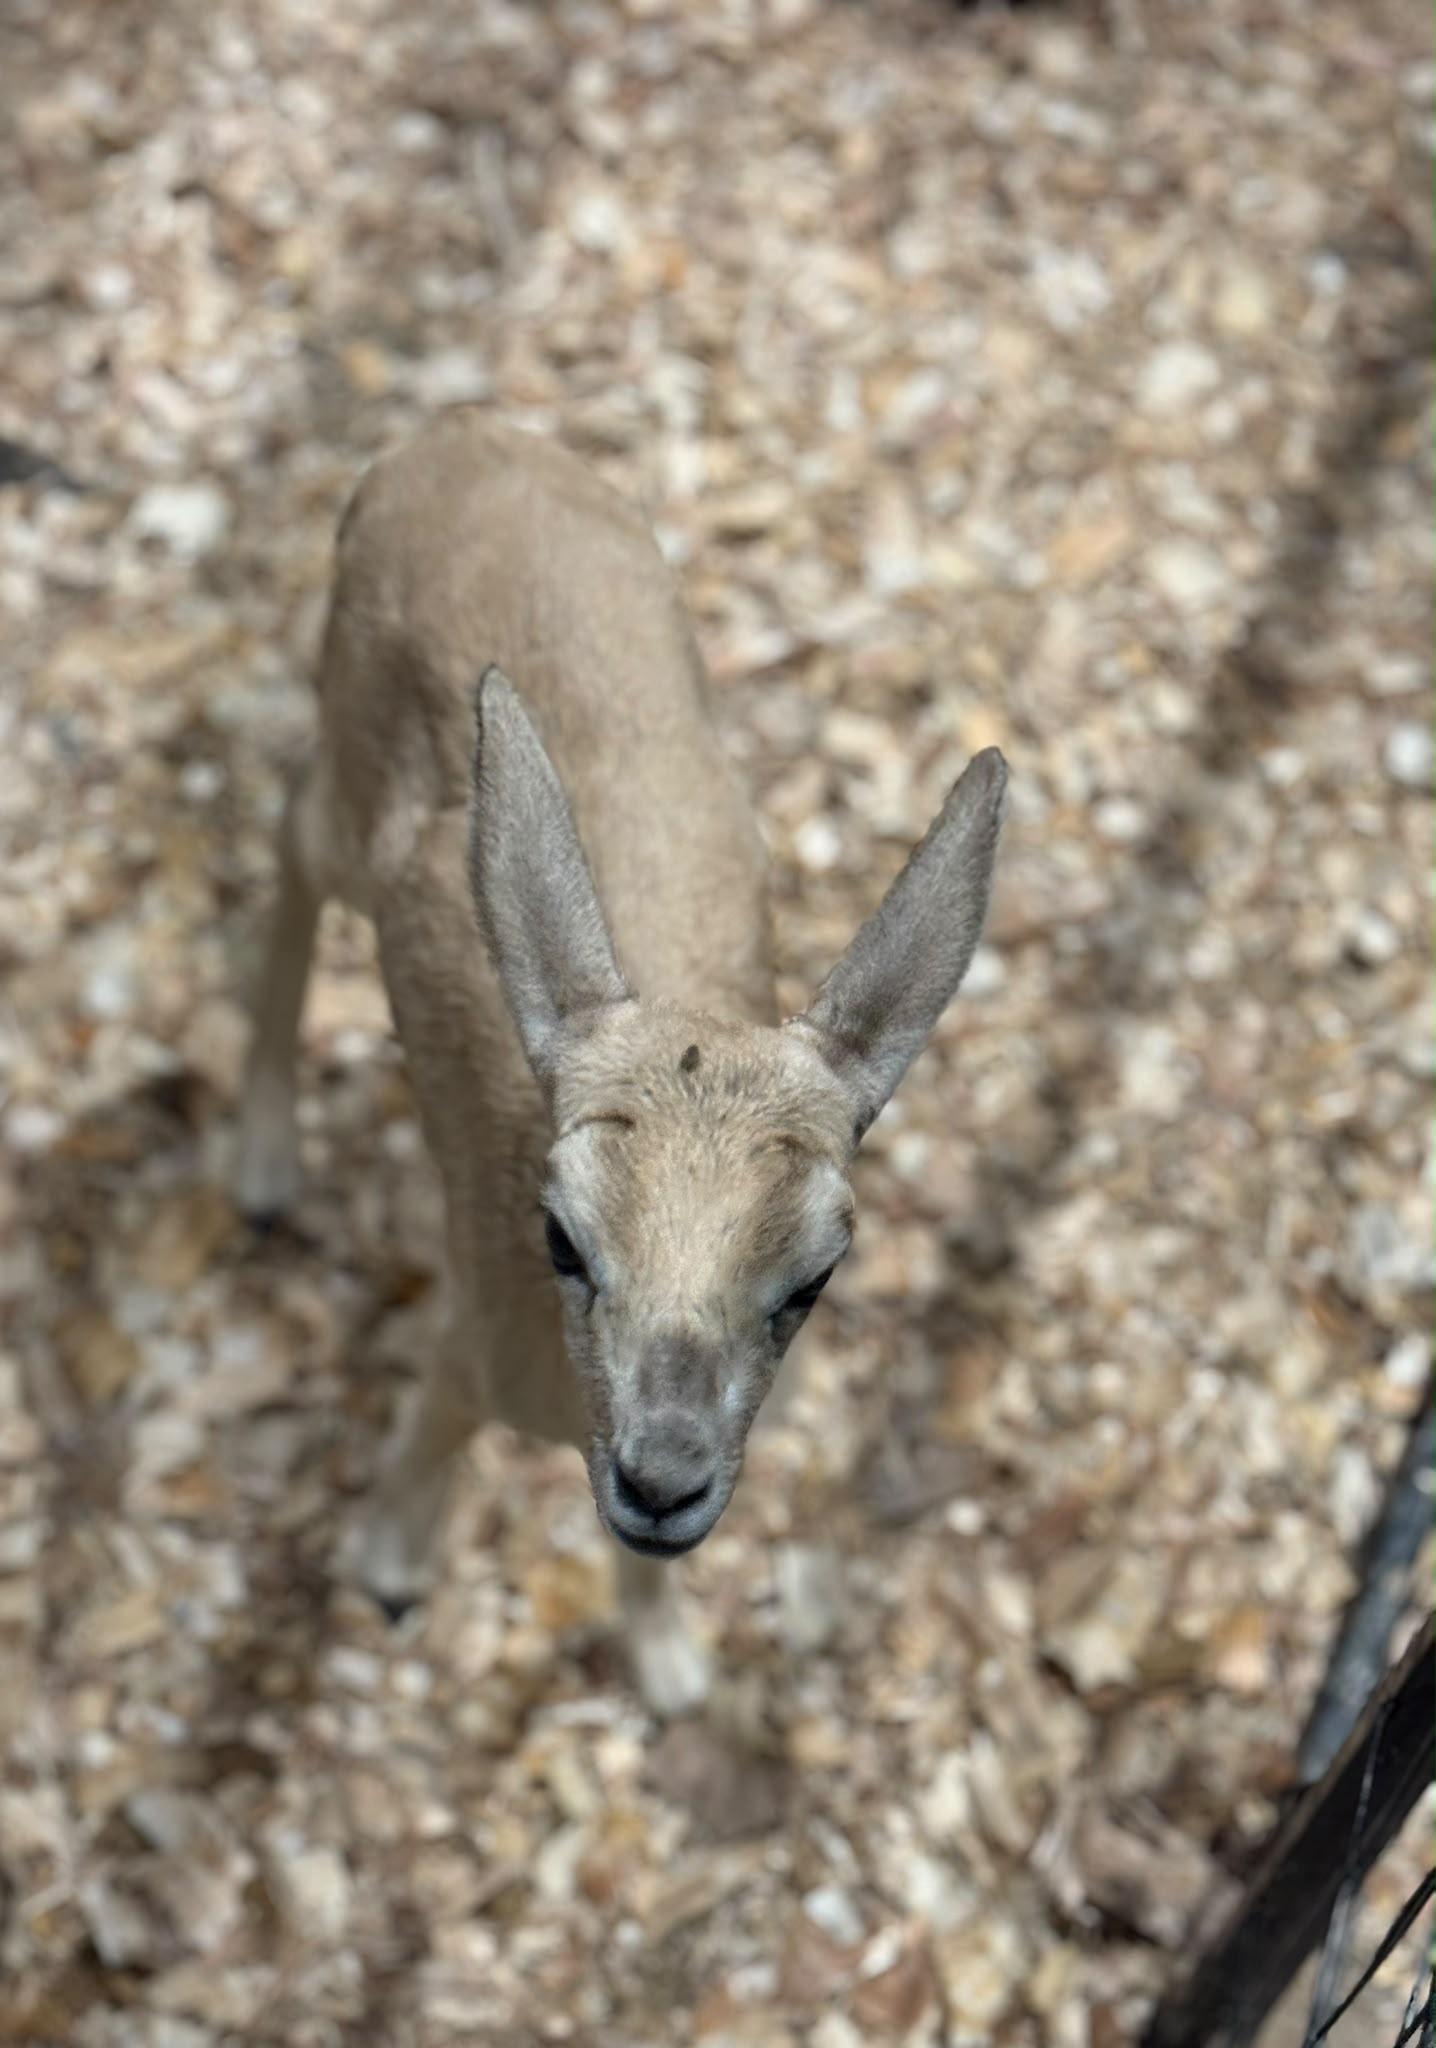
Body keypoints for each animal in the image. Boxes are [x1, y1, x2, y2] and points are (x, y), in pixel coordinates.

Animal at [233, 410, 1007, 1717]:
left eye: (813, 1275)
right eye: (562, 1235)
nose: (662, 1477)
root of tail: (447, 445)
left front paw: (667, 1665)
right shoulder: (464, 1355)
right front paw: (388, 1565)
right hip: (338, 801)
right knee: (286, 833)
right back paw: (264, 1166)